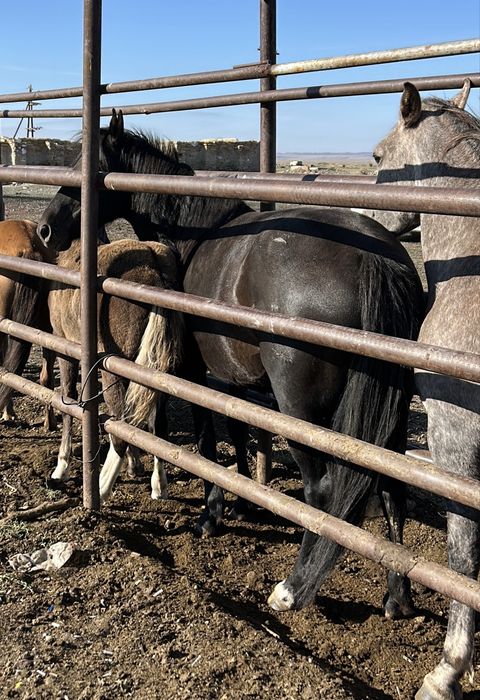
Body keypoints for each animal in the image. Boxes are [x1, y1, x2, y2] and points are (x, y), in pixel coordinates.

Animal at [37, 111, 425, 619]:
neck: (196, 235)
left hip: (302, 410)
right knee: (392, 486)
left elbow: (206, 437)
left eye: (89, 164)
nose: (46, 229)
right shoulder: (233, 378)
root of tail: (373, 257)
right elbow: (239, 431)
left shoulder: (195, 373)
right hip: (391, 408)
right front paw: (240, 502)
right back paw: (397, 596)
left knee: (322, 491)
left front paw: (211, 514)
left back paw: (293, 589)